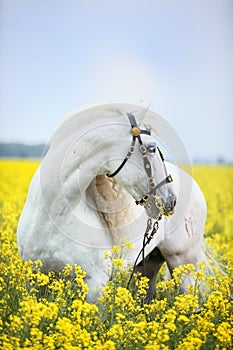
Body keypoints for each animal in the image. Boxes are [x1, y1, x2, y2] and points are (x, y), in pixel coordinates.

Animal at [16, 102, 207, 302]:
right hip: (148, 265)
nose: (171, 200)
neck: (52, 215)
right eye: (152, 148)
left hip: (184, 263)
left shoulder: (95, 284)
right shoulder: (34, 279)